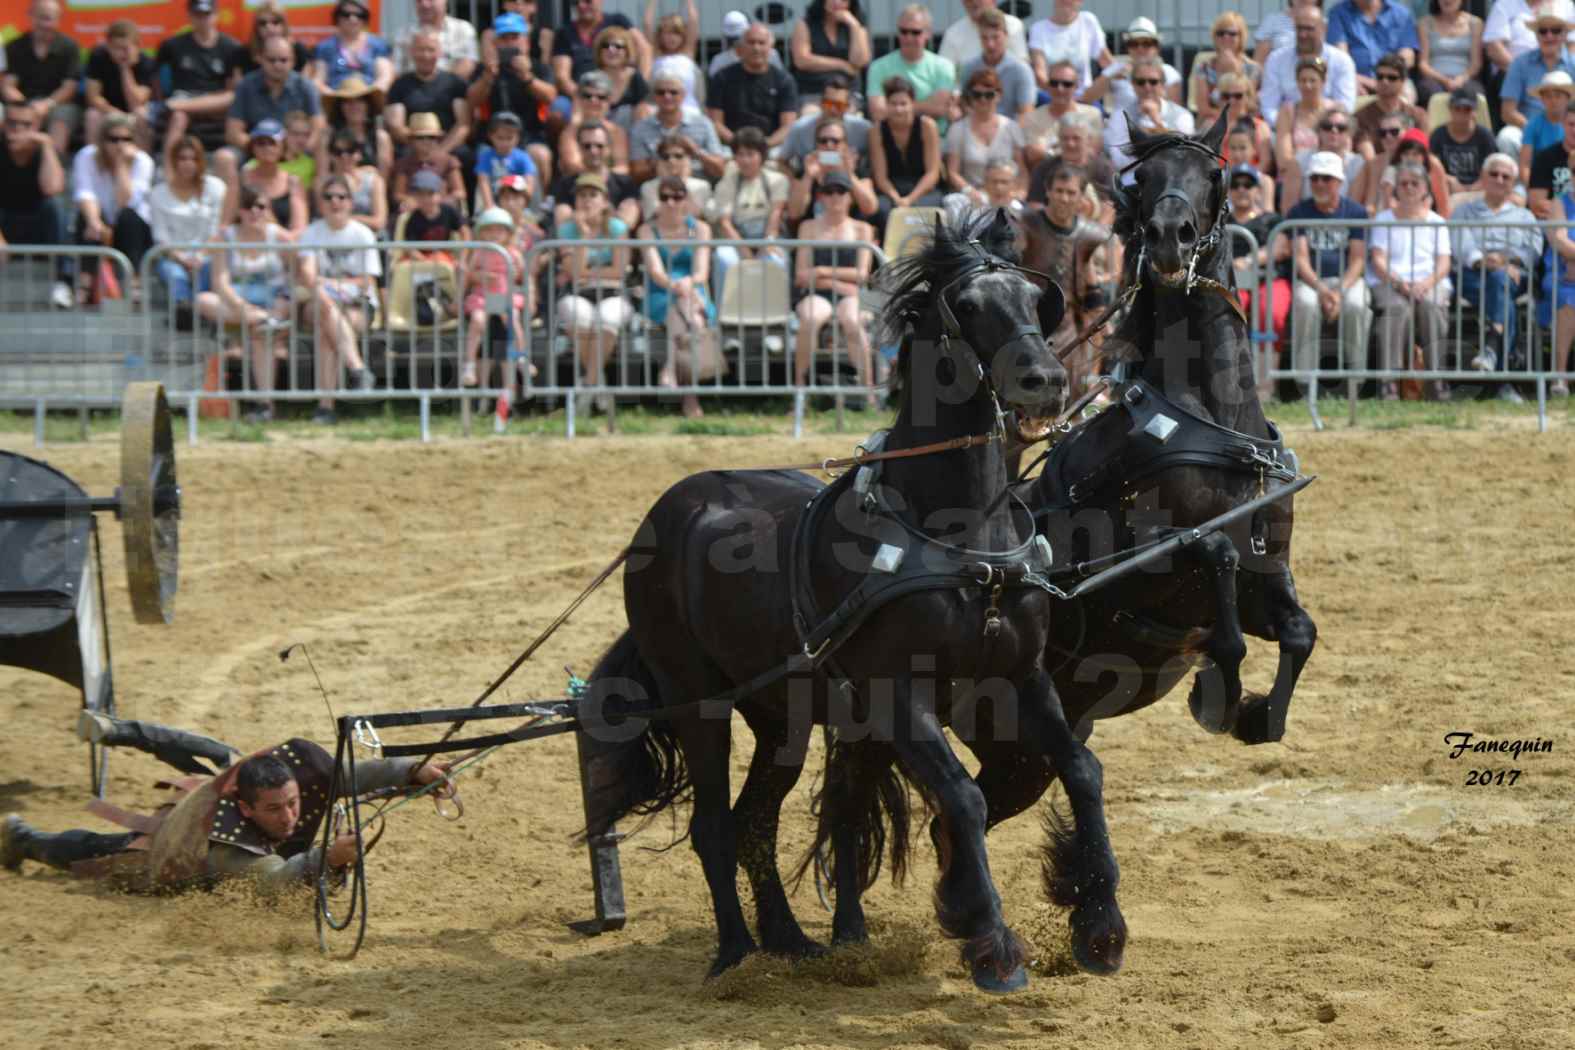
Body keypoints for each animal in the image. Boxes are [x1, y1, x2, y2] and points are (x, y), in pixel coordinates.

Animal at [579, 215, 1134, 994]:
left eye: (1032, 298)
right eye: (967, 305)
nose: (1045, 380)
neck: (959, 535)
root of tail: (668, 510)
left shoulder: (1018, 677)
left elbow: (1081, 770)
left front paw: (1100, 925)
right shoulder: (898, 693)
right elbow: (962, 796)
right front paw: (993, 946)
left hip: (783, 715)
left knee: (756, 820)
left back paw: (792, 940)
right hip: (700, 702)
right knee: (714, 825)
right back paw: (735, 954)